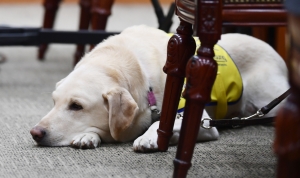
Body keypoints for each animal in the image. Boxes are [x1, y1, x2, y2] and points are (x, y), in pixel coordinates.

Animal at [29, 25, 288, 151]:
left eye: (76, 106)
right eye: (54, 102)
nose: (35, 132)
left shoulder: (200, 121)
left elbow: (160, 123)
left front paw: (149, 138)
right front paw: (87, 135)